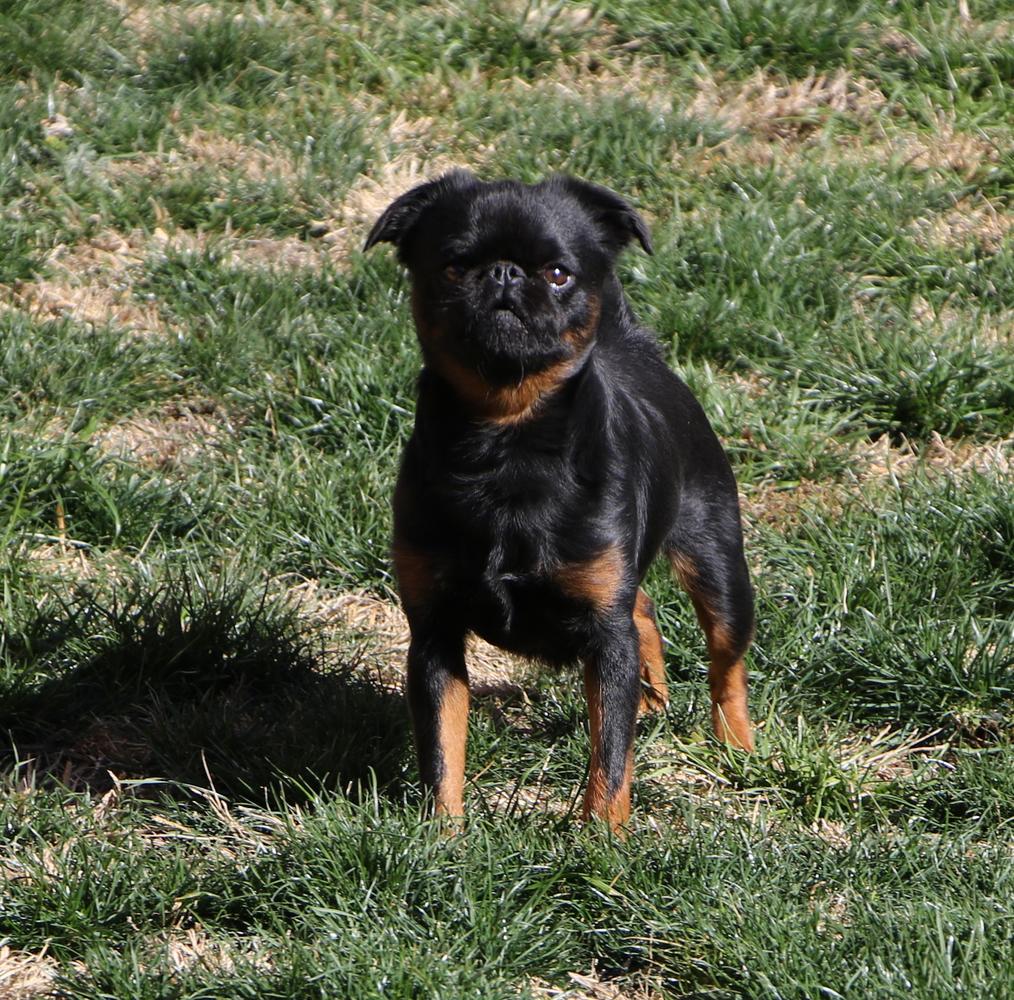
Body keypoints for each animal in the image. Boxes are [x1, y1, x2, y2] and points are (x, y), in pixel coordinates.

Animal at [365, 171, 754, 827]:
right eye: (454, 266)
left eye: (557, 274)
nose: (504, 273)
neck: (507, 439)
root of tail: (633, 345)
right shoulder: (434, 634)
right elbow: (442, 744)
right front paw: (443, 833)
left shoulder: (604, 631)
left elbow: (611, 754)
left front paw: (602, 835)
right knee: (643, 607)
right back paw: (652, 698)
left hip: (718, 564)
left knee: (726, 661)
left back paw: (737, 746)